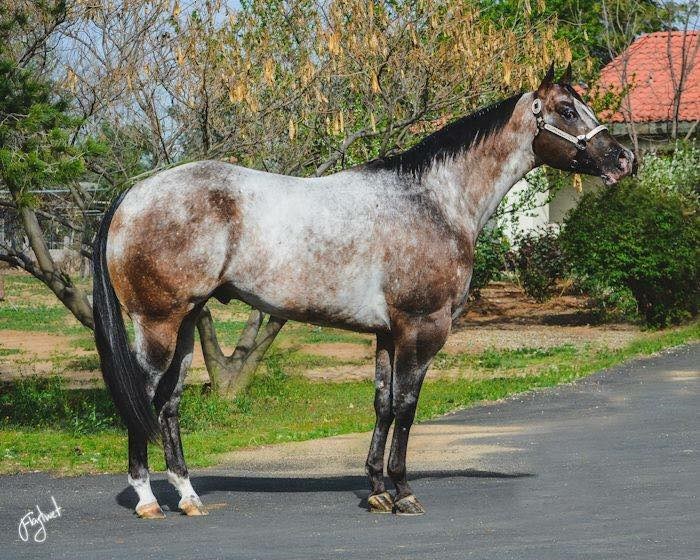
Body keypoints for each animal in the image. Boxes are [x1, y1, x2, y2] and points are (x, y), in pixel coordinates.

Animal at [93, 64, 634, 519]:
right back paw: (147, 499)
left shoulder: (387, 333)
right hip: (157, 325)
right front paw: (403, 492)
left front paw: (376, 489)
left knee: (168, 404)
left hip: (185, 324)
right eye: (567, 110)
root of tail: (133, 194)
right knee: (142, 396)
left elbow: (383, 405)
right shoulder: (421, 328)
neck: (433, 200)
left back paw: (187, 496)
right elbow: (407, 407)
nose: (625, 158)